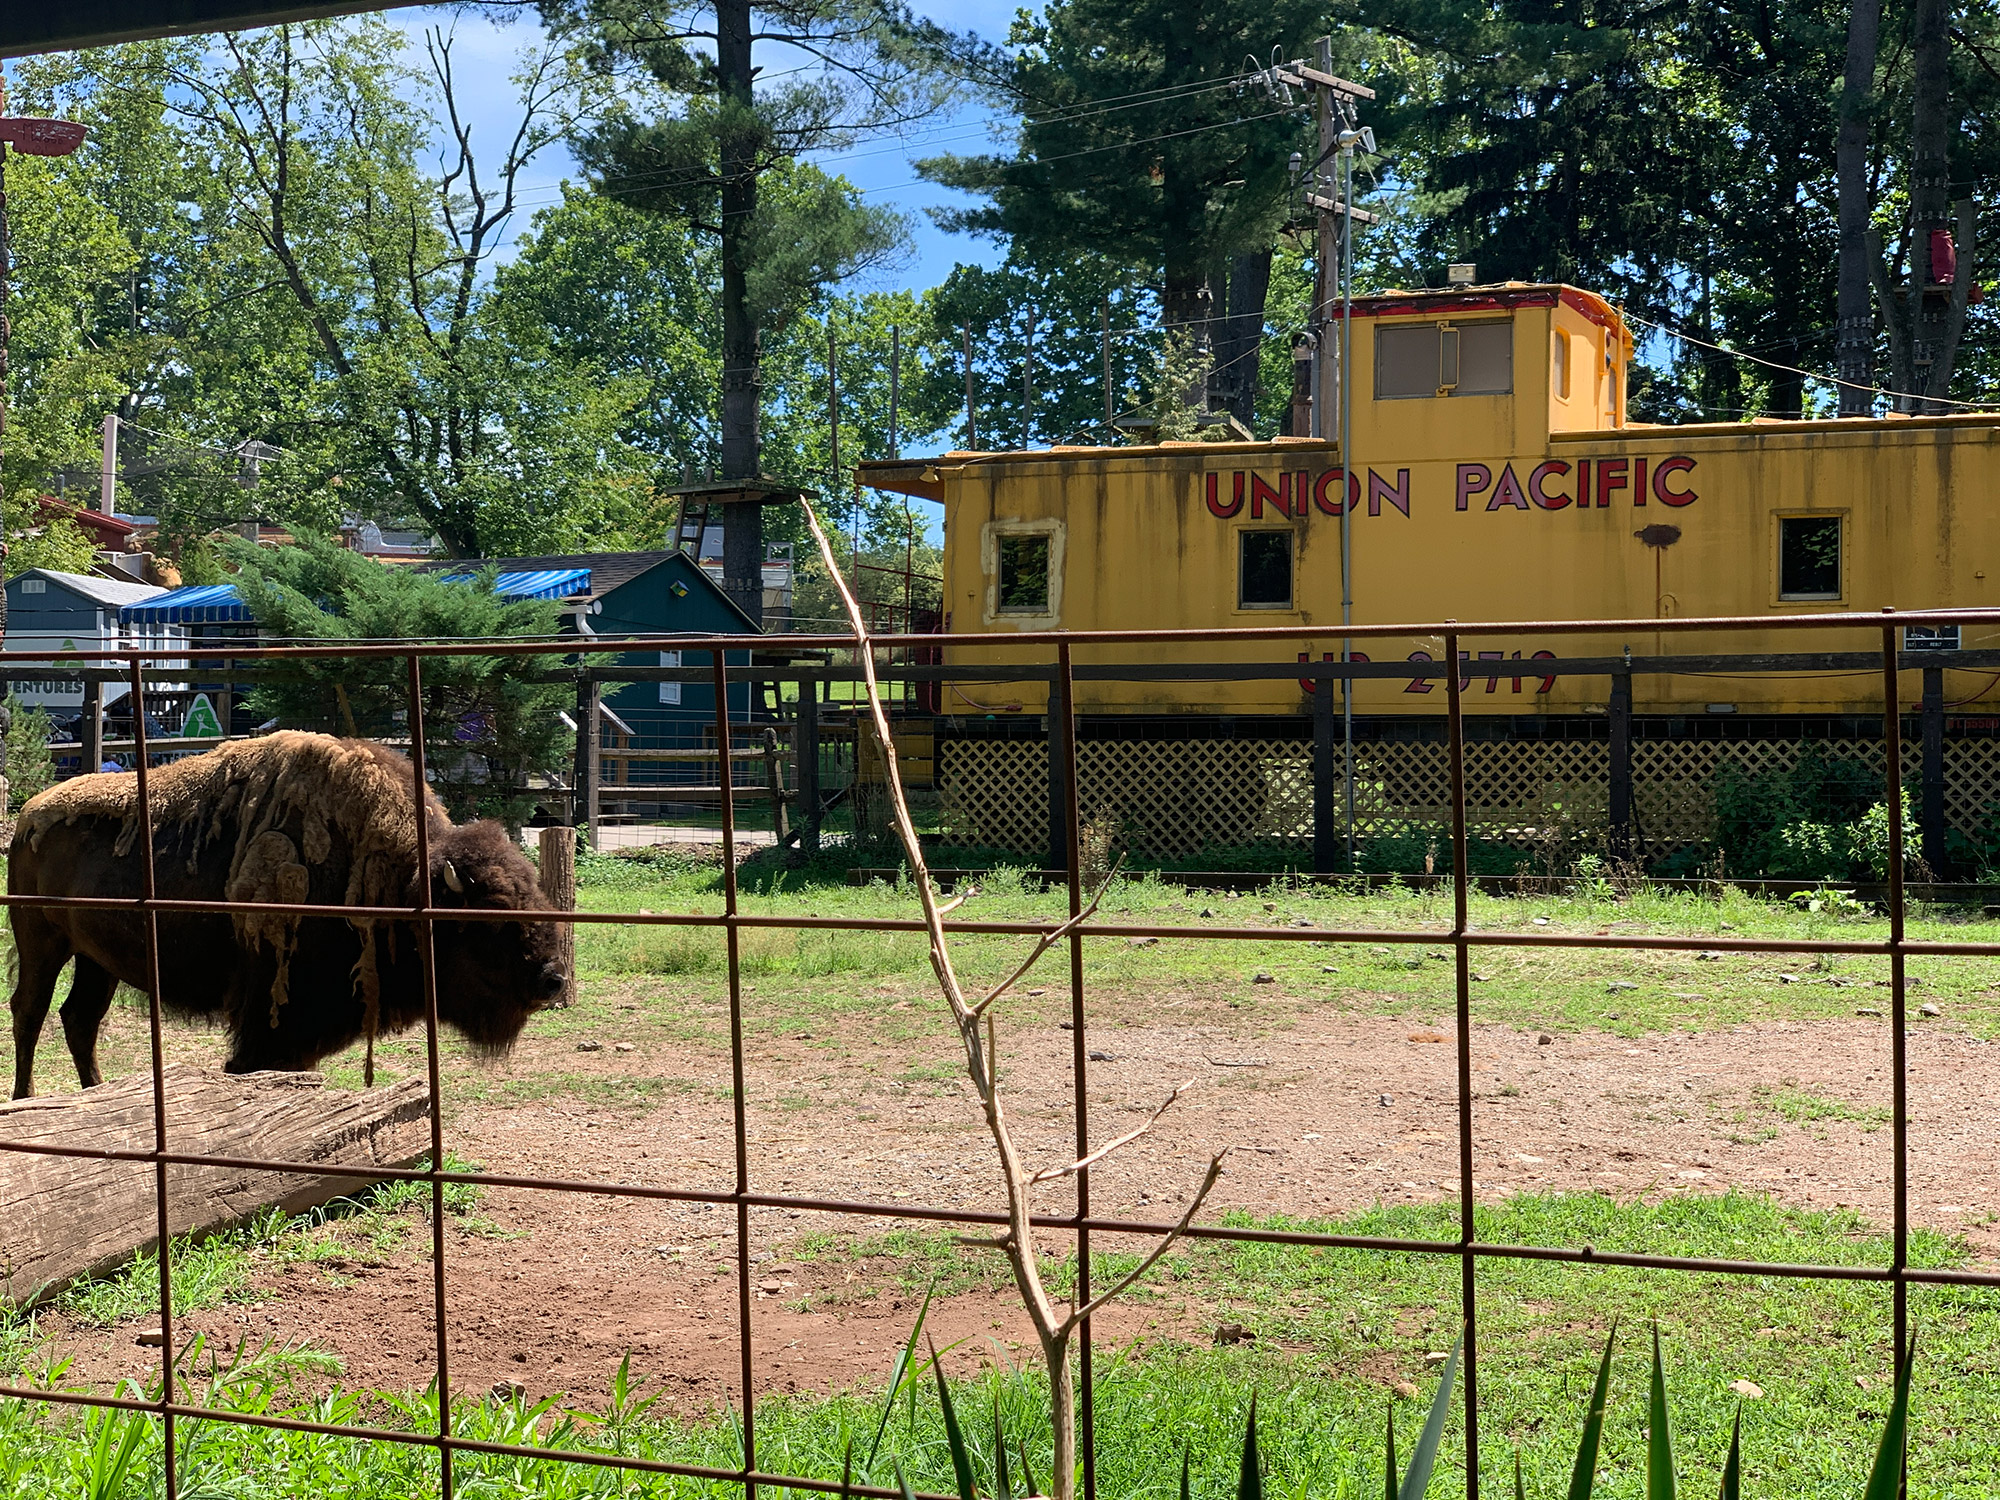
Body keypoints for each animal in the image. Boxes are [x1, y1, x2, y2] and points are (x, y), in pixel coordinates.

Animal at [11, 732, 568, 1096]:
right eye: (491, 914)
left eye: (536, 896)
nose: (553, 980)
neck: (404, 881)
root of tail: (28, 815)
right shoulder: (270, 1008)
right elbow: (254, 1063)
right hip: (42, 944)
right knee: (29, 1011)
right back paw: (26, 1098)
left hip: (96, 960)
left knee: (79, 1018)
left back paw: (93, 1092)